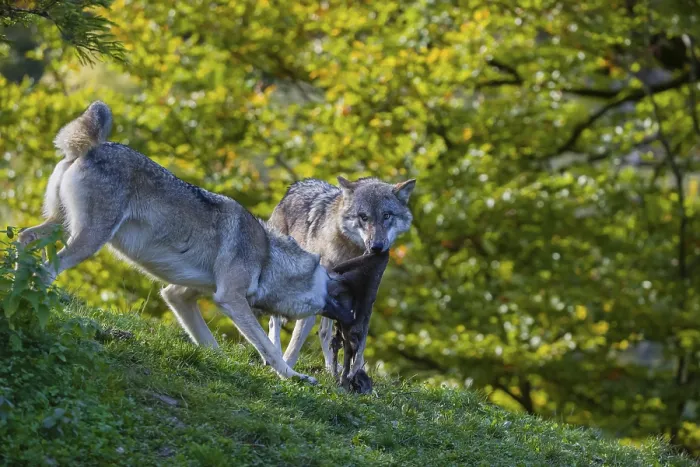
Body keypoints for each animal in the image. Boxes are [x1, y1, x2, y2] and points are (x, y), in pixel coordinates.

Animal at [18, 101, 352, 384]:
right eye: (335, 284)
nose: (352, 313)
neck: (268, 257)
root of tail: (93, 145)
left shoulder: (177, 295)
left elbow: (211, 345)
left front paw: (223, 367)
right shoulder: (230, 299)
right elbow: (269, 348)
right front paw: (293, 377)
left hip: (62, 227)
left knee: (25, 237)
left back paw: (16, 288)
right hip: (90, 239)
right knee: (47, 268)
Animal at [267, 175, 415, 377]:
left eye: (387, 215)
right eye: (363, 217)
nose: (376, 247)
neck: (349, 252)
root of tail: (295, 186)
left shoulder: (365, 300)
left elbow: (358, 344)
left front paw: (357, 375)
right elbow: (296, 342)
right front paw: (285, 371)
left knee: (324, 333)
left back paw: (332, 370)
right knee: (274, 321)